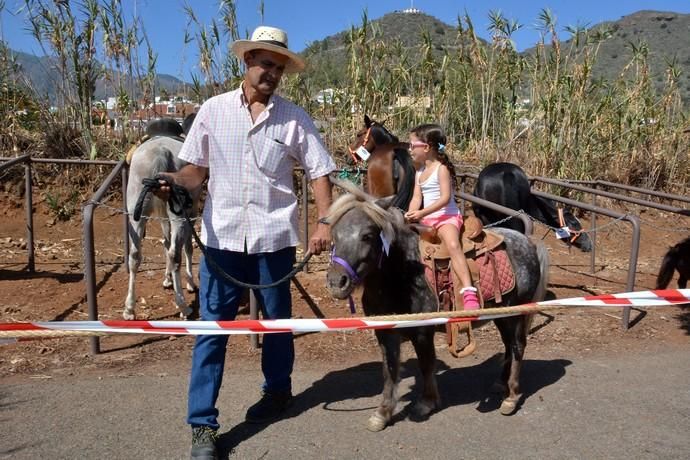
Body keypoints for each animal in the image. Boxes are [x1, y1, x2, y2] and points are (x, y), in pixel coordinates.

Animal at [123, 117, 200, 322]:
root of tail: (160, 151)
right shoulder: (191, 213)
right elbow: (187, 247)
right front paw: (189, 282)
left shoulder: (163, 216)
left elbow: (165, 242)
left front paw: (167, 279)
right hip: (179, 214)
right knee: (175, 253)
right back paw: (183, 305)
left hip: (137, 214)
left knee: (135, 256)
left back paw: (129, 308)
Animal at [324, 179, 548, 432]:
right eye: (334, 234)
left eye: (367, 235)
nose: (337, 282)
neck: (402, 276)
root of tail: (528, 242)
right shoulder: (385, 332)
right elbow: (389, 369)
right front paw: (382, 413)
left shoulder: (422, 331)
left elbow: (426, 364)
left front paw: (426, 402)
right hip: (502, 315)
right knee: (508, 345)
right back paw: (501, 384)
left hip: (516, 313)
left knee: (518, 346)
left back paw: (511, 397)